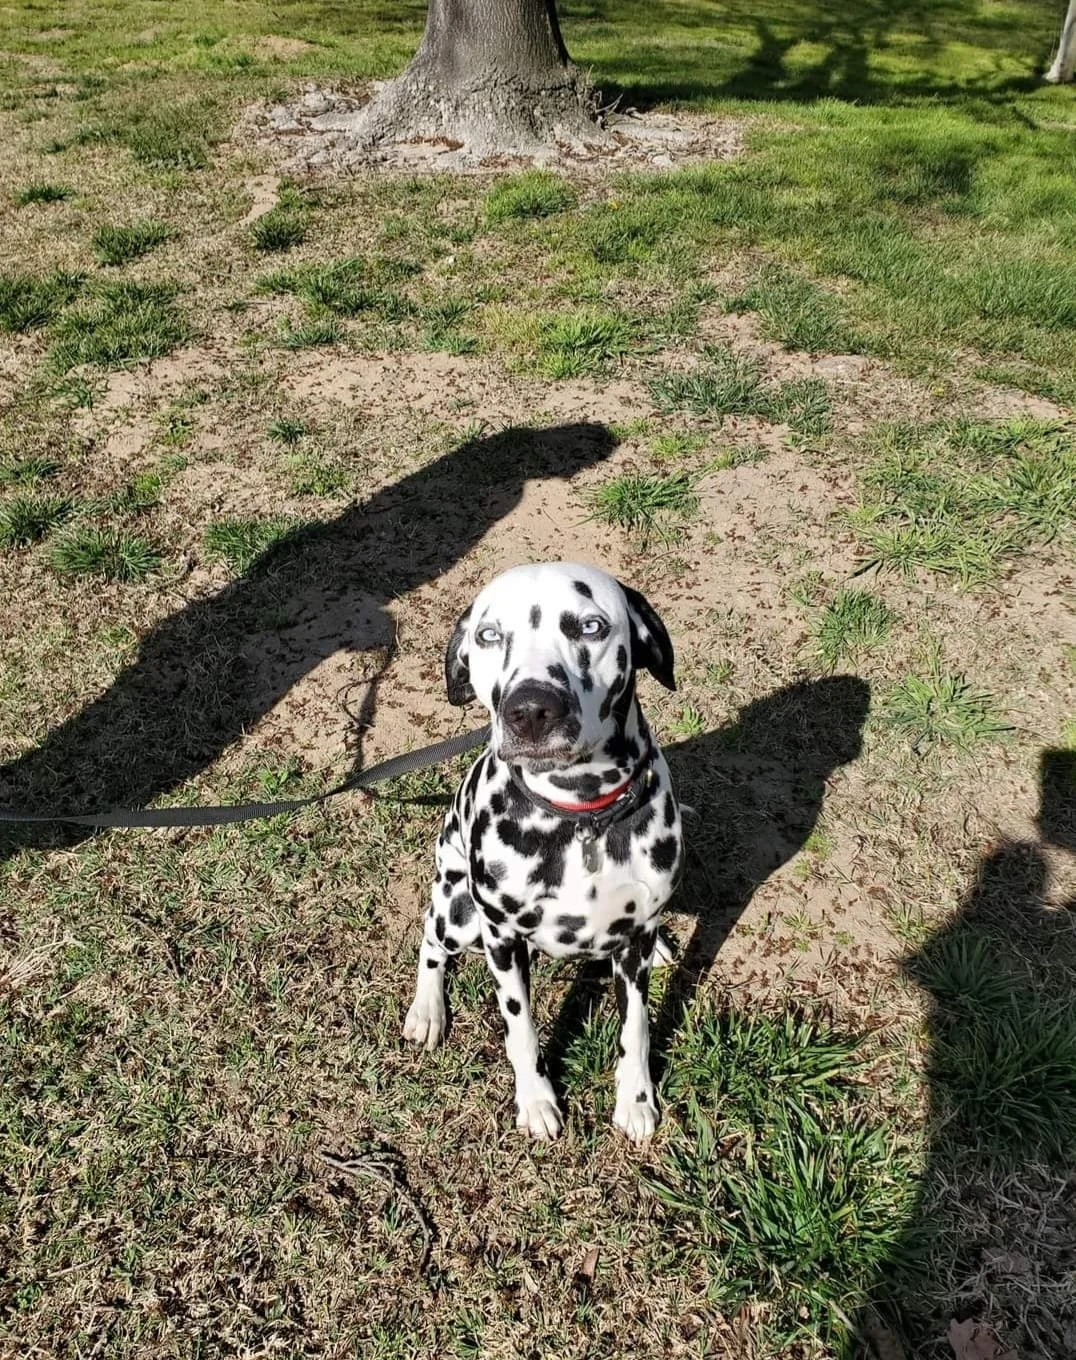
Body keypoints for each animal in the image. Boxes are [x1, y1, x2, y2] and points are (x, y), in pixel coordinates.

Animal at [403, 562, 683, 1142]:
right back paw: (427, 1009)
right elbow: (521, 1030)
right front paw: (535, 1101)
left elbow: (637, 1028)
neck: (579, 814)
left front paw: (636, 1100)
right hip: (459, 913)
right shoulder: (502, 940)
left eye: (591, 627)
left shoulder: (632, 949)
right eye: (489, 635)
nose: (530, 709)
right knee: (430, 937)